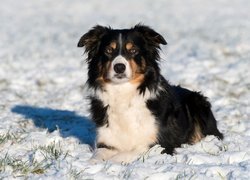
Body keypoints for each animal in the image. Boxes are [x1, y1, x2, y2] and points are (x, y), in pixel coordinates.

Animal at [77, 23, 224, 163]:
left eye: (133, 50)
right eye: (108, 50)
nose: (119, 67)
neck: (123, 93)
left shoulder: (160, 144)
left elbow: (127, 154)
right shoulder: (107, 142)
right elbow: (97, 156)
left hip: (198, 104)